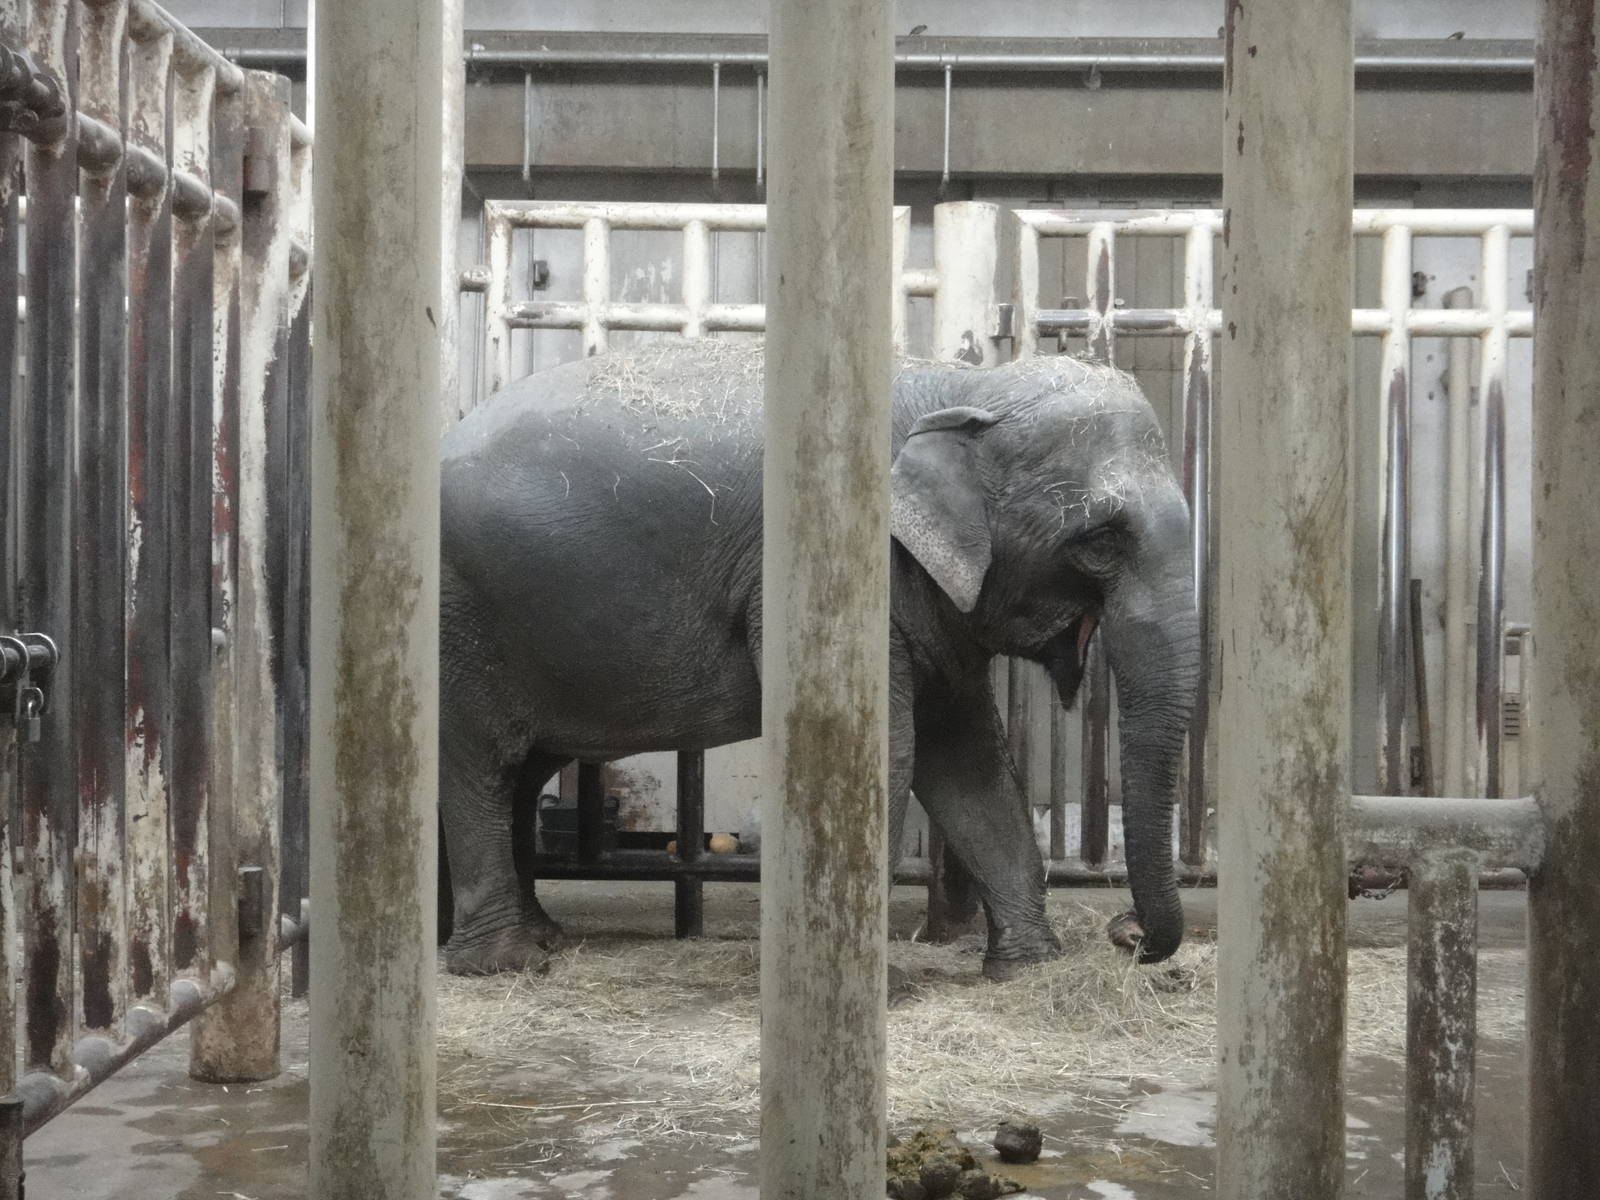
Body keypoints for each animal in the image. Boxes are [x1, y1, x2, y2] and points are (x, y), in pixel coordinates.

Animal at [437, 338, 1199, 980]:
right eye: (1100, 541)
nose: (1127, 932)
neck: (963, 385)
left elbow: (968, 757)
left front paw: (1028, 972)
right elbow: (892, 749)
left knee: (521, 772)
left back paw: (541, 939)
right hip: (459, 617)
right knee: (478, 763)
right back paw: (502, 964)